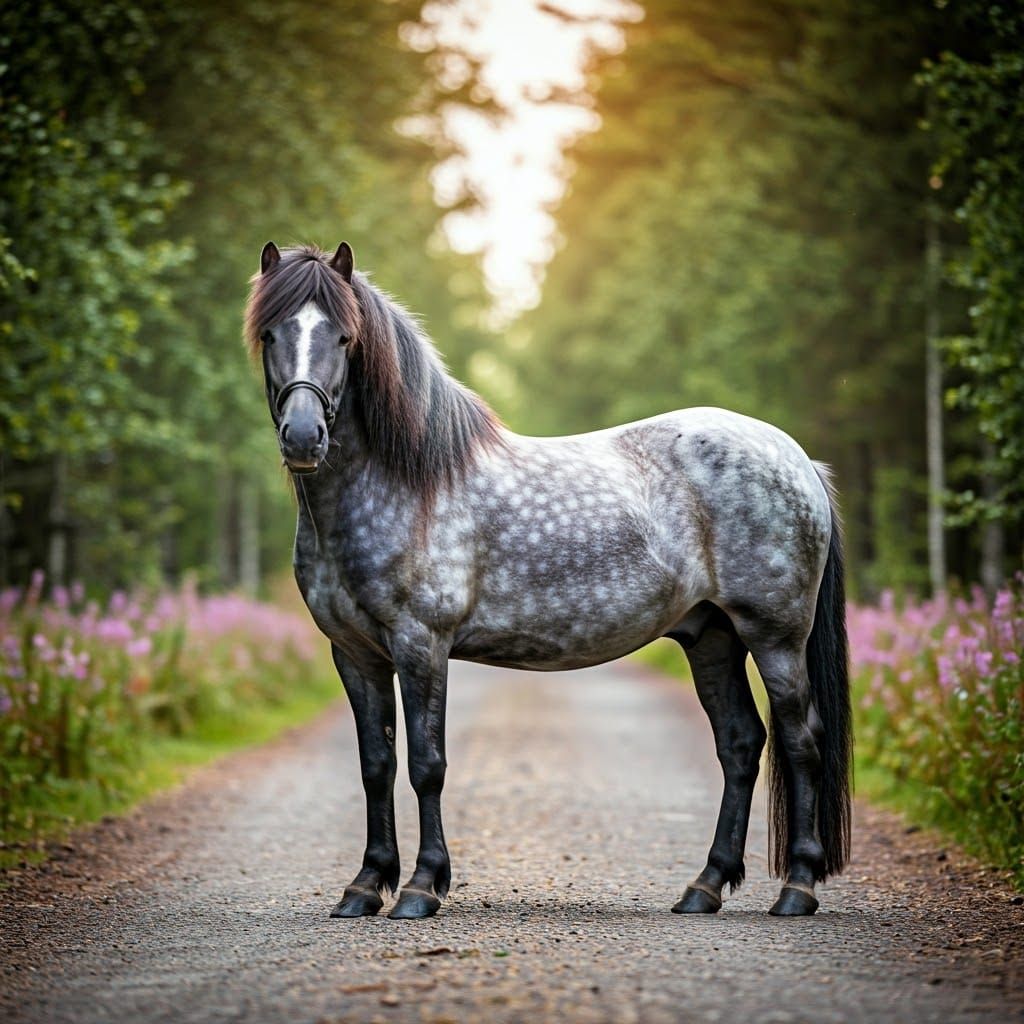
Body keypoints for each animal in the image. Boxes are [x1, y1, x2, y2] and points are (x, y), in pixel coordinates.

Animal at [244, 241, 852, 921]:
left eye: (344, 338)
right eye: (270, 333)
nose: (303, 437)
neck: (407, 483)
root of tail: (799, 460)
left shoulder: (420, 644)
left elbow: (427, 764)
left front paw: (421, 887)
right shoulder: (354, 652)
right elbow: (376, 764)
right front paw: (364, 886)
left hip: (775, 637)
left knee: (800, 740)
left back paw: (797, 888)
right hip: (712, 637)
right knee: (741, 745)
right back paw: (705, 886)